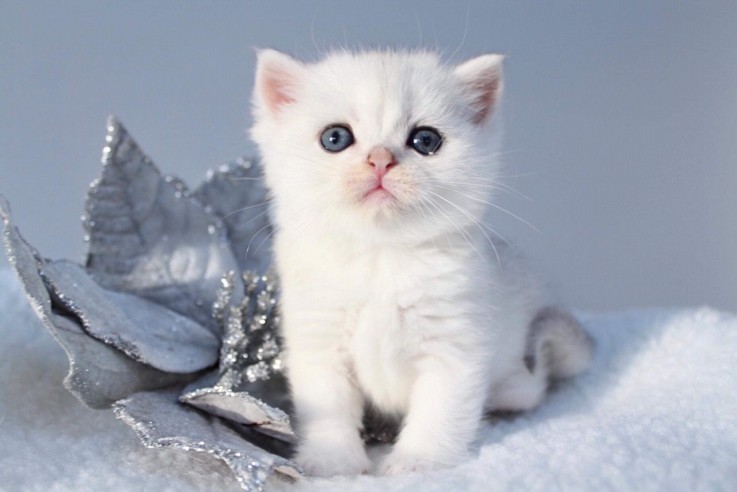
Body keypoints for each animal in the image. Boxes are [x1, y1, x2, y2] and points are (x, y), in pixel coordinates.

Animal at [247, 49, 592, 476]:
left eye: (425, 140)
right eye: (335, 137)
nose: (380, 160)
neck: (381, 256)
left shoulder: (455, 345)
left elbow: (439, 411)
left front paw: (419, 462)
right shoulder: (319, 341)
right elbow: (328, 409)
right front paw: (333, 463)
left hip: (522, 375)